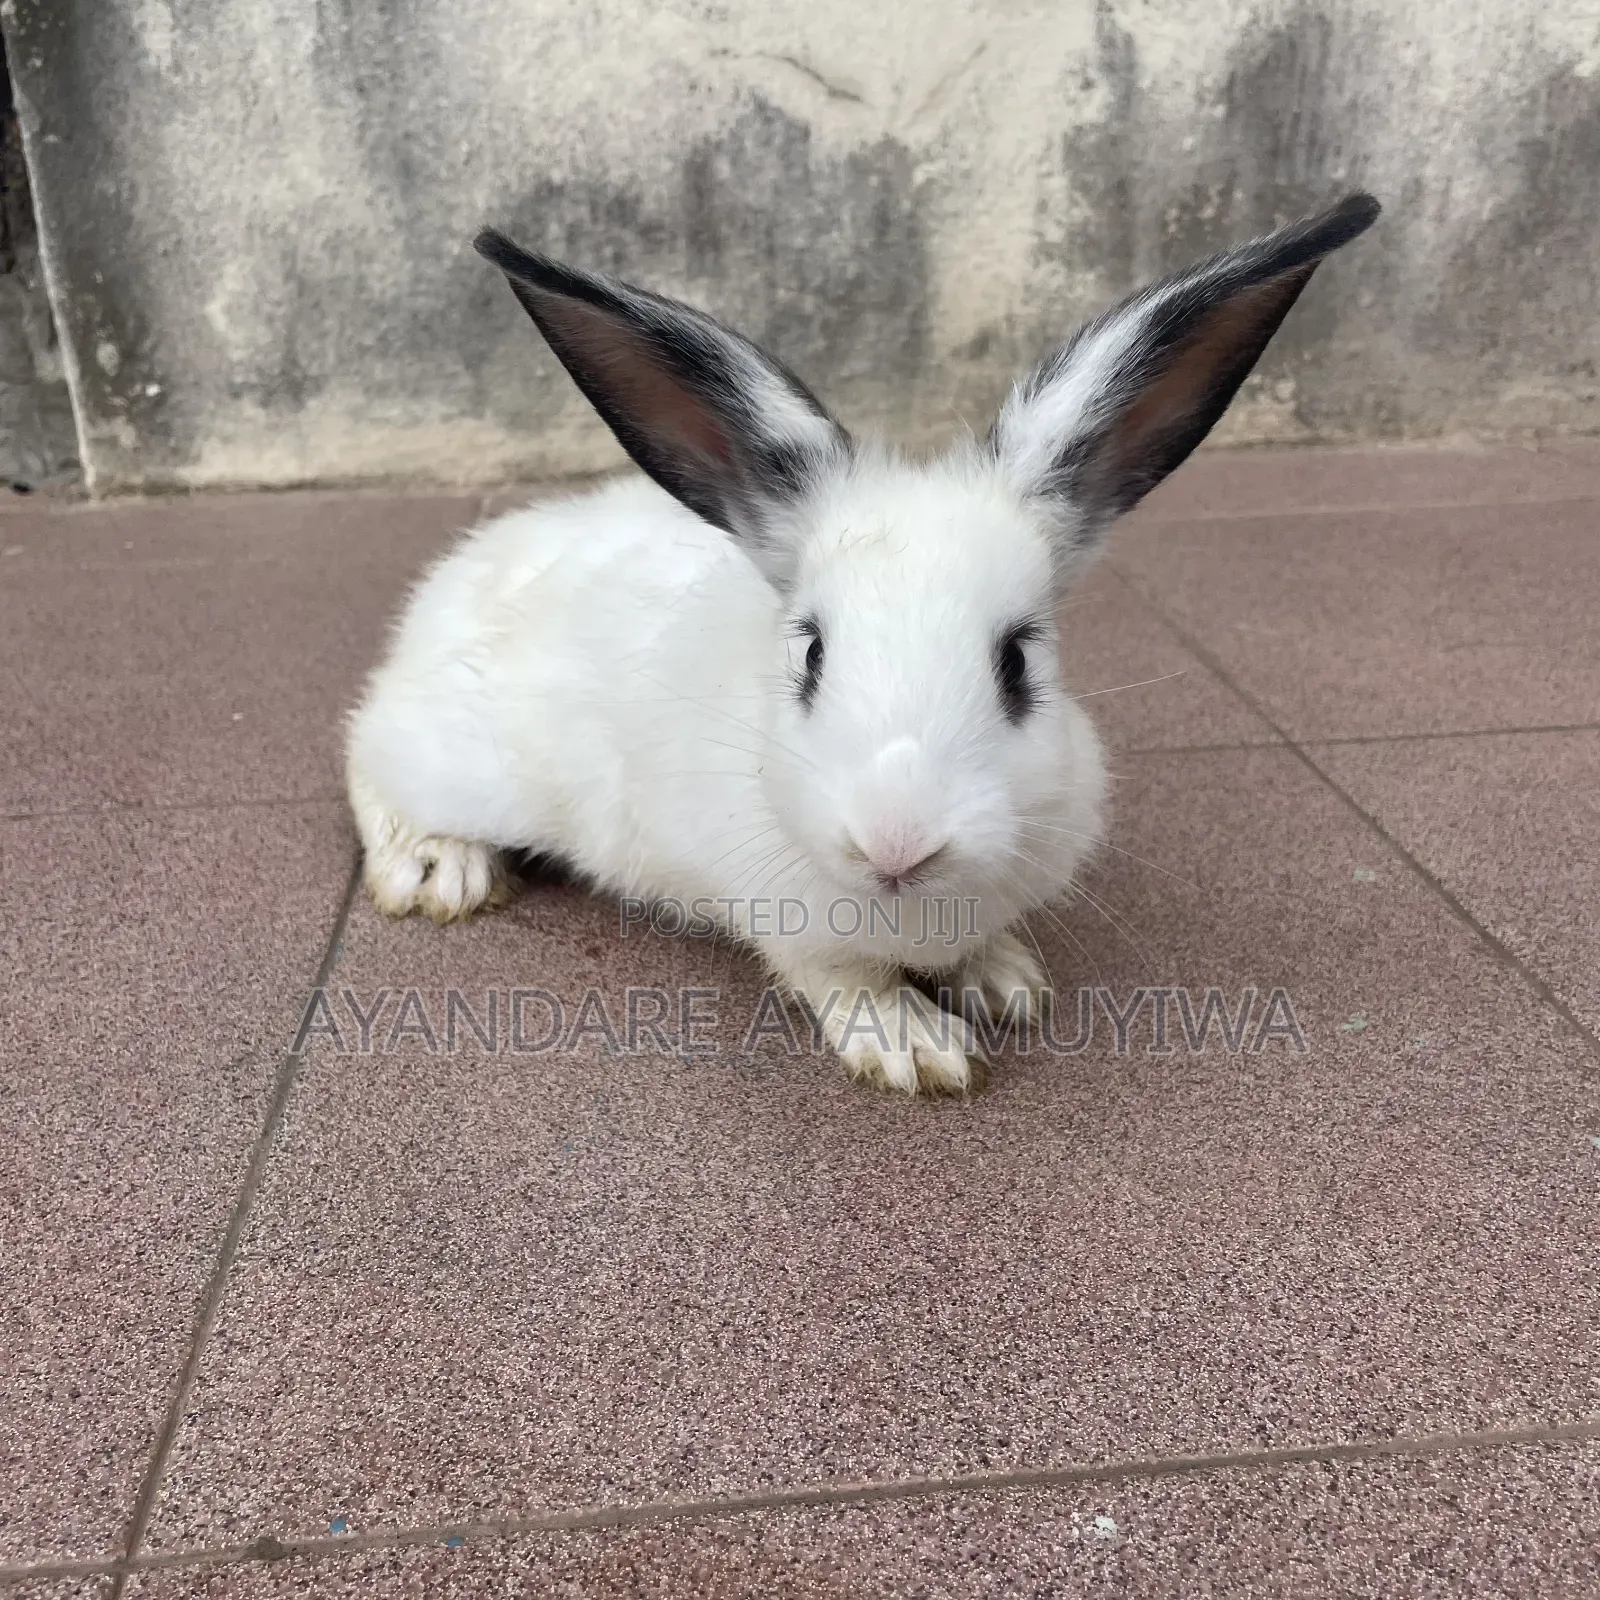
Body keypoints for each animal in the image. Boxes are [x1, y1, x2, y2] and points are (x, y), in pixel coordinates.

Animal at [345, 191, 1380, 1095]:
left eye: (1018, 660)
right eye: (810, 653)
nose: (897, 841)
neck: (912, 912)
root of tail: (455, 579)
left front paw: (1006, 984)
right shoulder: (792, 929)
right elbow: (846, 982)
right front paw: (917, 1049)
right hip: (461, 758)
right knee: (365, 754)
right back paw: (438, 871)